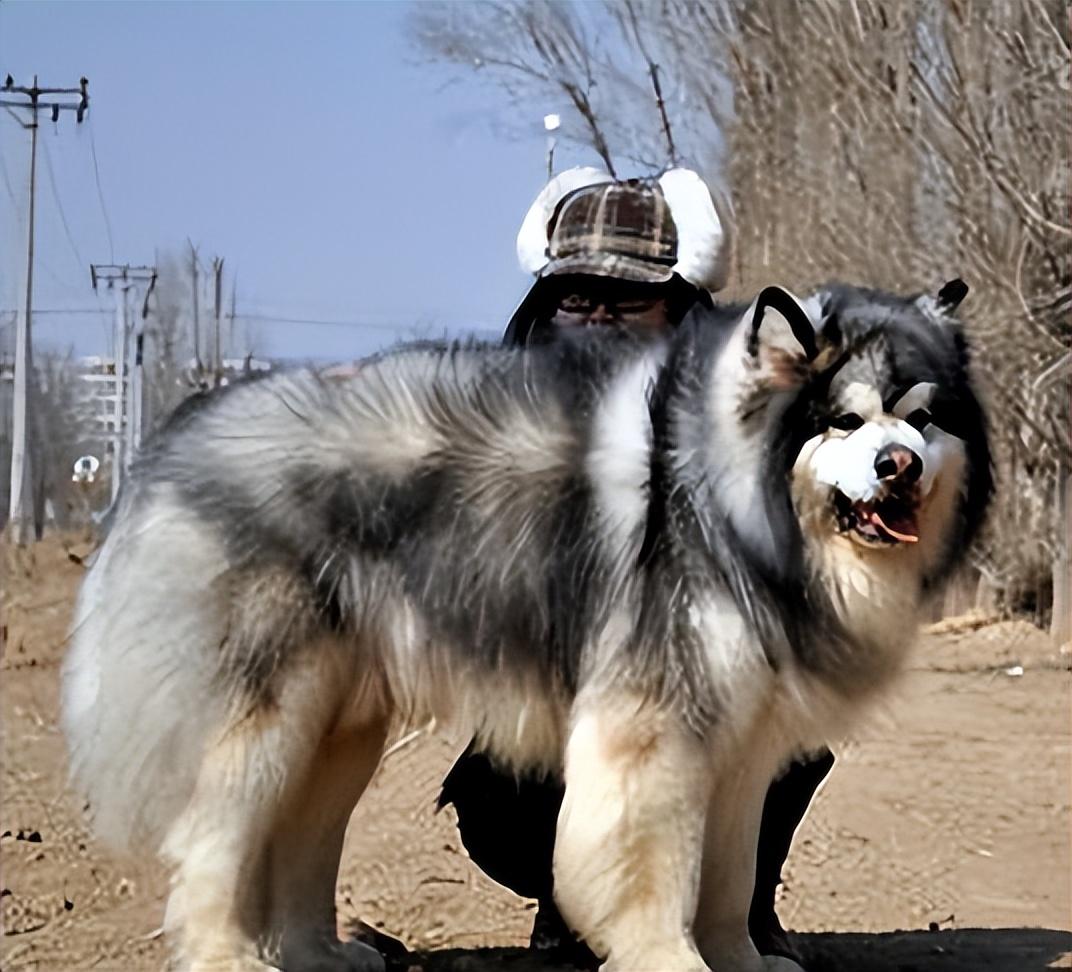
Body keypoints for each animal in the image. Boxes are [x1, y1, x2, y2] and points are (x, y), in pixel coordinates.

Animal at [62, 280, 990, 972]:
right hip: (266, 720)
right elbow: (657, 870)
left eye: (922, 418)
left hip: (338, 730)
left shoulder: (740, 745)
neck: (727, 501)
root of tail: (180, 433)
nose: (899, 466)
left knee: (300, 839)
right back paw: (232, 957)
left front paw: (741, 961)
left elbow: (730, 879)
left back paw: (319, 952)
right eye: (846, 421)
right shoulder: (653, 733)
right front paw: (668, 958)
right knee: (211, 845)